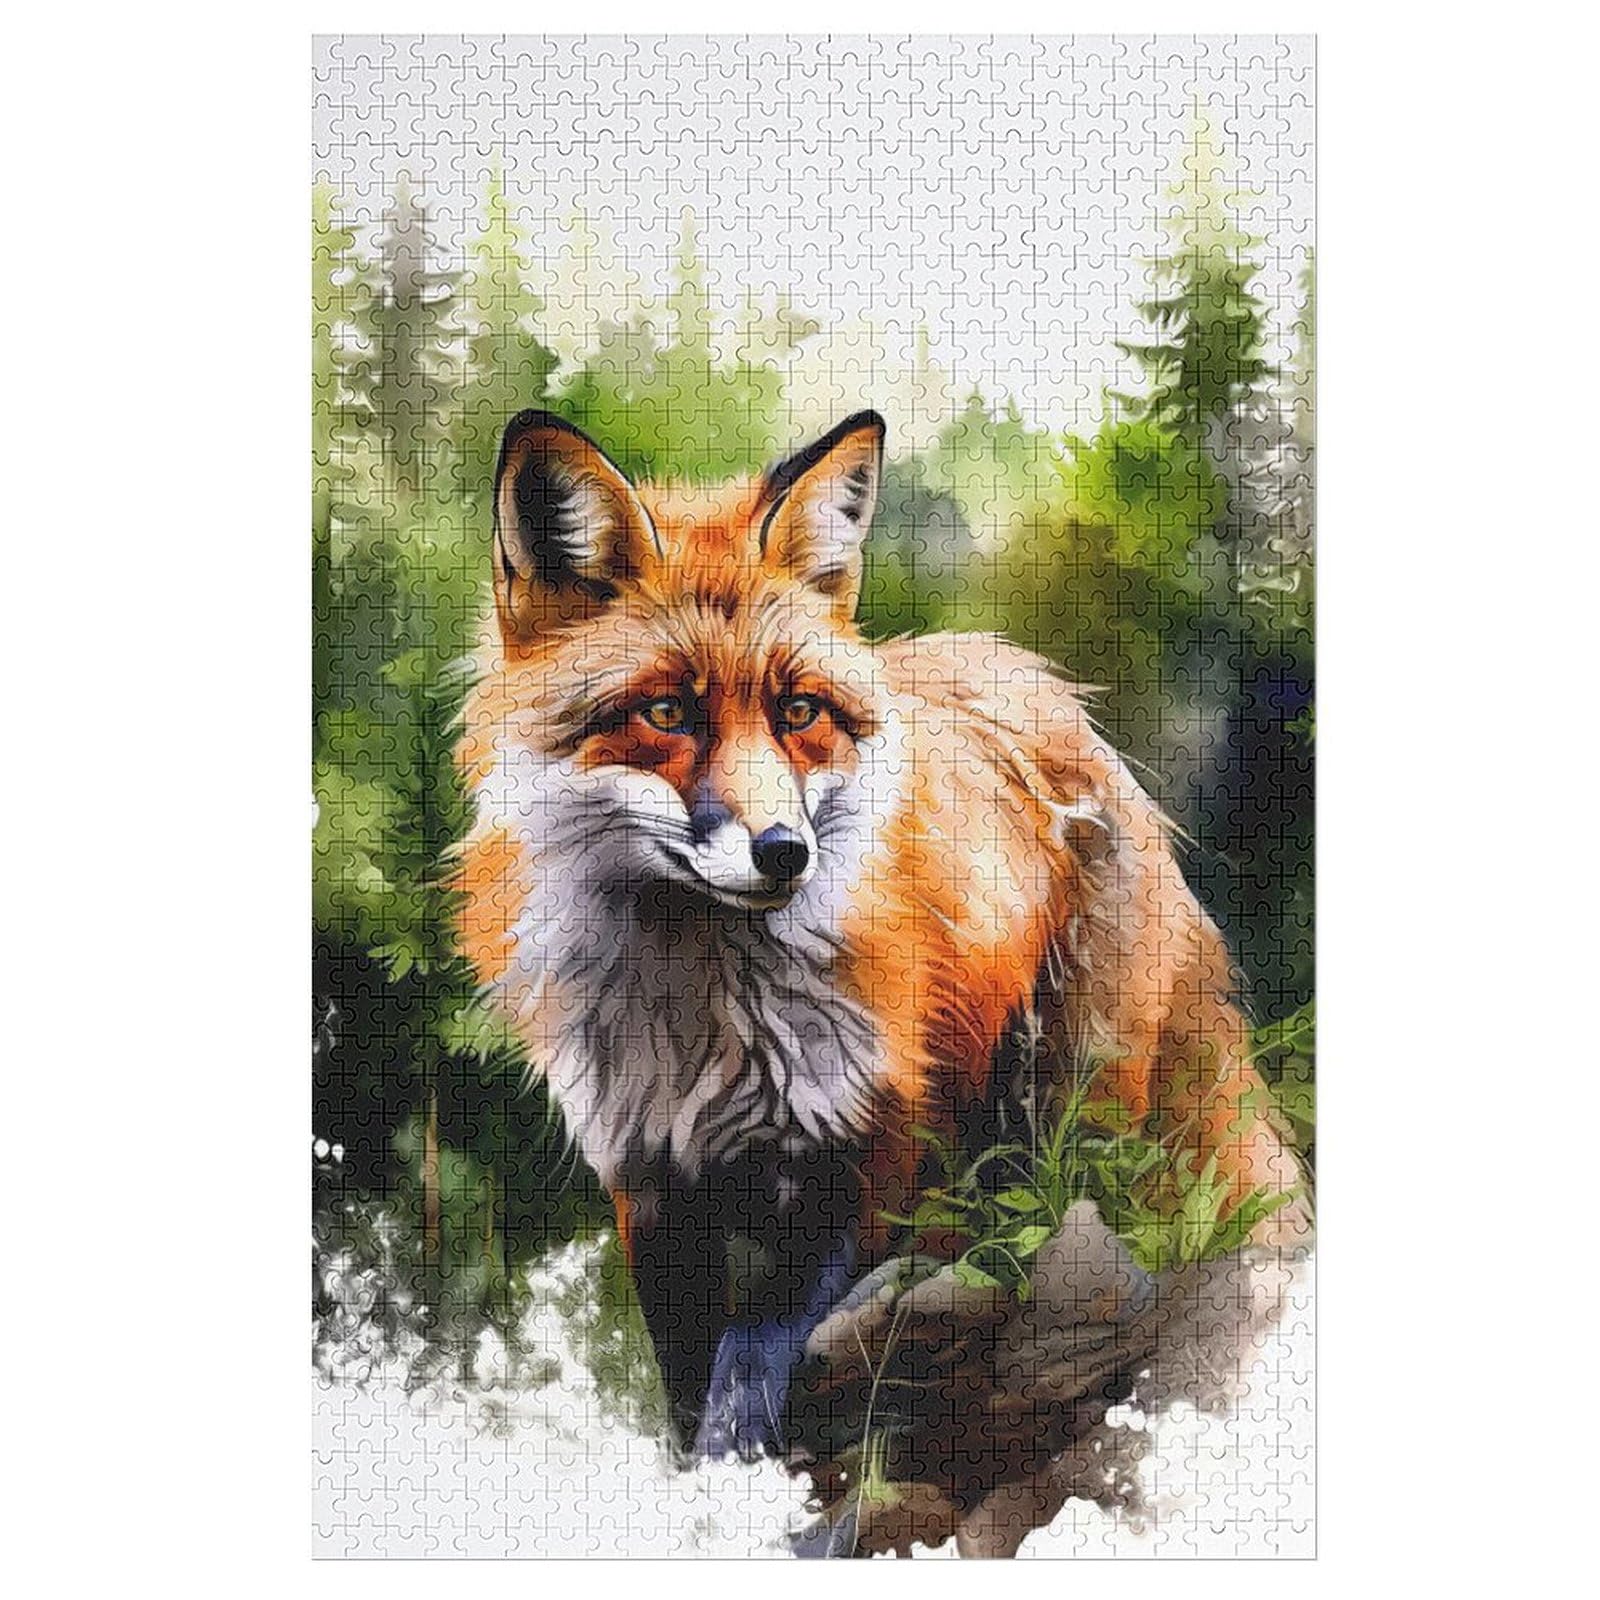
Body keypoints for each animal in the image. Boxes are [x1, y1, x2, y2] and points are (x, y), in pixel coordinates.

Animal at [453, 407, 1303, 1462]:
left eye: (797, 711)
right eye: (666, 712)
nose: (784, 852)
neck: (699, 1016)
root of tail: (1061, 701)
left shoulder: (876, 1150)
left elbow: (754, 1355)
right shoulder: (650, 1181)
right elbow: (690, 1385)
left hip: (1069, 1111)